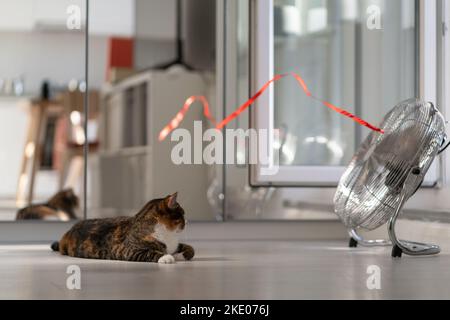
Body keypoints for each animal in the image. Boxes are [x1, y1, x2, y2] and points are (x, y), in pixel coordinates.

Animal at [51, 194, 195, 264]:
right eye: (182, 214)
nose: (188, 221)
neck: (168, 234)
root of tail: (70, 230)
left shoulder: (174, 245)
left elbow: (191, 248)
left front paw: (181, 255)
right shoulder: (130, 251)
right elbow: (151, 252)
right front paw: (167, 257)